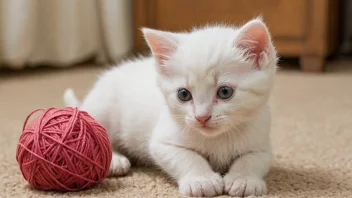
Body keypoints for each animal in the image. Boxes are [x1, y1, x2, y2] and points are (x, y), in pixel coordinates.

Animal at [64, 18, 278, 196]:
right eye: (183, 95)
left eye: (225, 92)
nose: (201, 117)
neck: (218, 139)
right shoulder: (162, 143)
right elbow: (186, 157)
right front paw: (201, 180)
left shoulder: (262, 142)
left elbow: (253, 159)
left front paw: (245, 180)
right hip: (102, 108)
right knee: (98, 135)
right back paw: (115, 160)